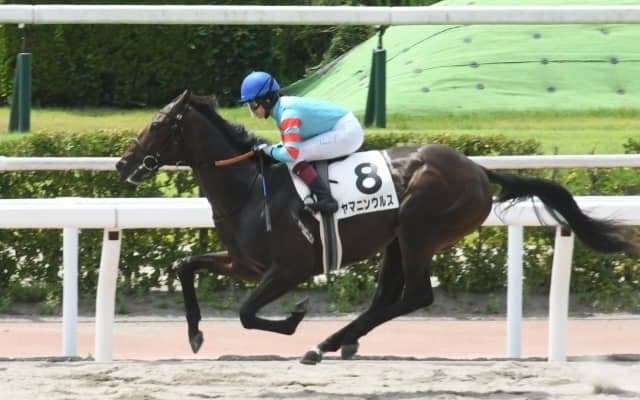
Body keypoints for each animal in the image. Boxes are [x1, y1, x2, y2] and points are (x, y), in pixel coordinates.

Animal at [116, 90, 638, 364]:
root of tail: (478, 169)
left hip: (418, 227)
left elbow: (246, 312)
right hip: (396, 239)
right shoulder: (245, 263)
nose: (122, 163)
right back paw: (339, 340)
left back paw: (323, 343)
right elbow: (185, 266)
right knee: (388, 297)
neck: (248, 188)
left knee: (415, 295)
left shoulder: (288, 269)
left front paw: (296, 317)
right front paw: (195, 334)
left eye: (158, 125)